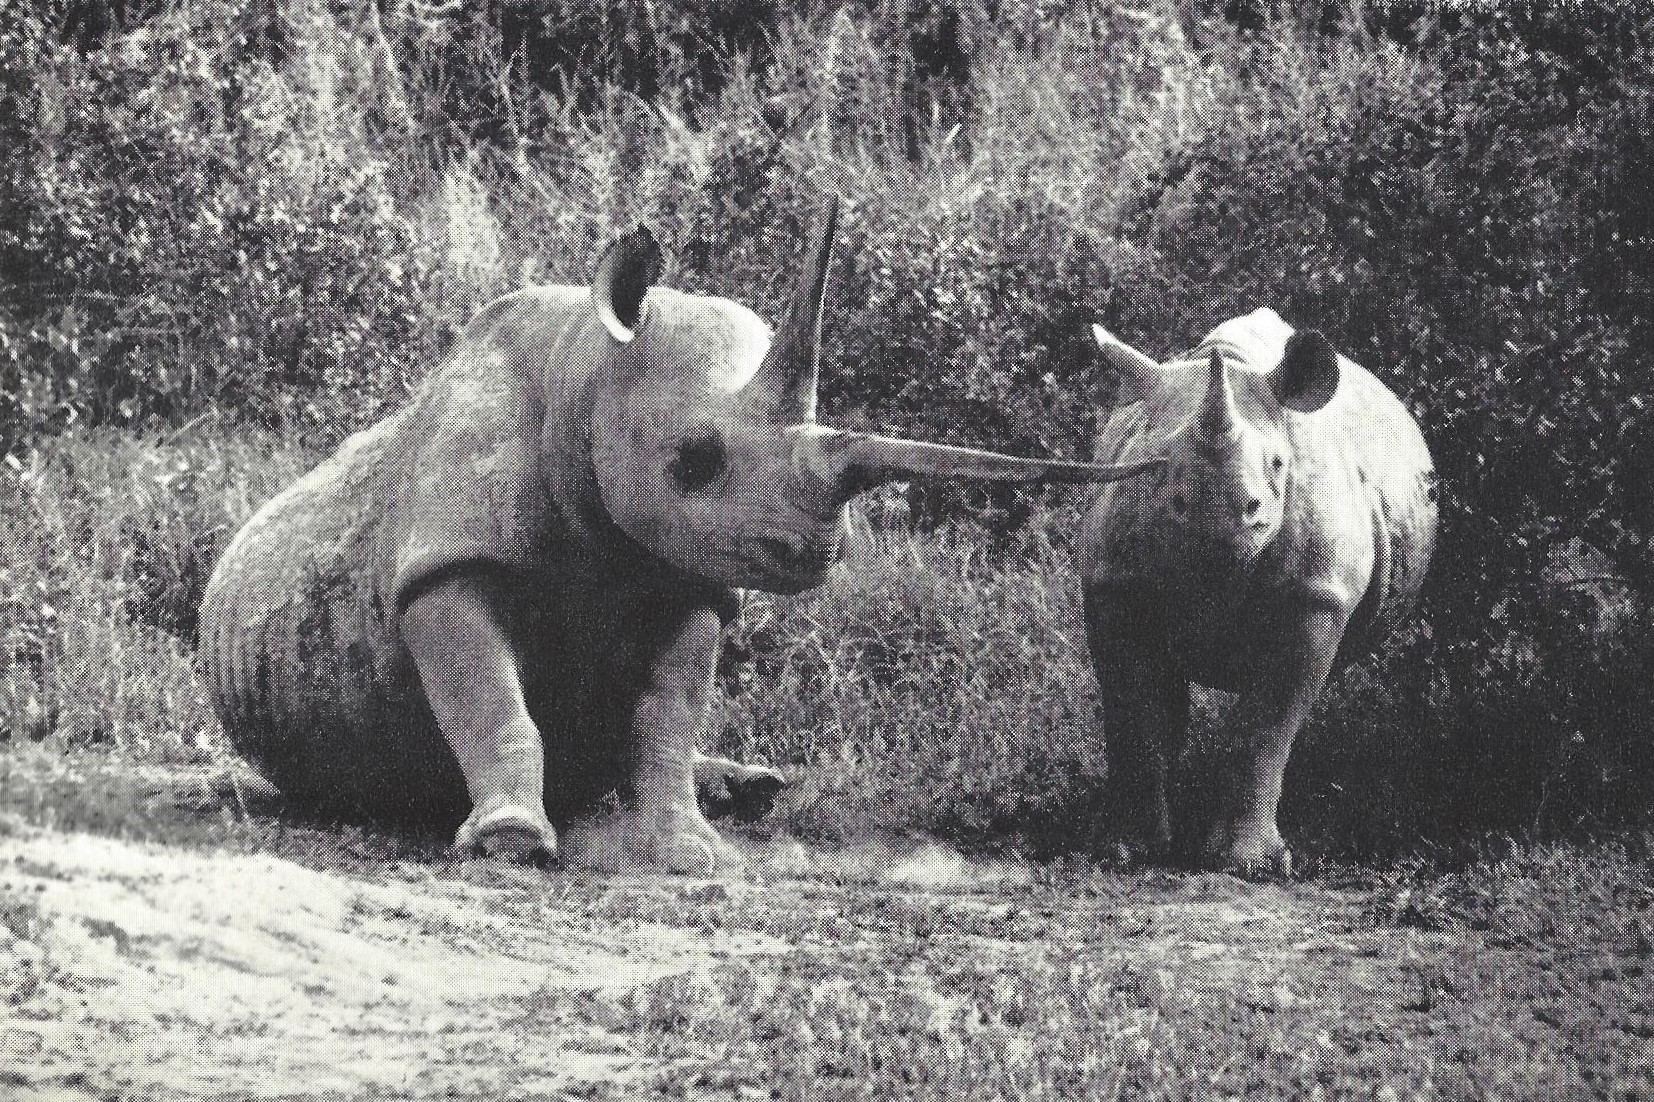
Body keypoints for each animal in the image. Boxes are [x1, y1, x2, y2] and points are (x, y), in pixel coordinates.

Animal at [199, 200, 1161, 873]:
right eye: (694, 459)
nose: (816, 550)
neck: (590, 373)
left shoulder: (692, 575)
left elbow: (665, 715)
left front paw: (691, 855)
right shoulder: (444, 567)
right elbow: (489, 700)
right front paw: (511, 843)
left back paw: (755, 790)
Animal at [1078, 308, 1437, 875]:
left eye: (1277, 464)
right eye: (1156, 464)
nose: (1216, 520)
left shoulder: (1314, 595)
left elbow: (1268, 720)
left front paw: (1249, 864)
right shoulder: (1115, 585)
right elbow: (1135, 710)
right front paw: (1128, 851)